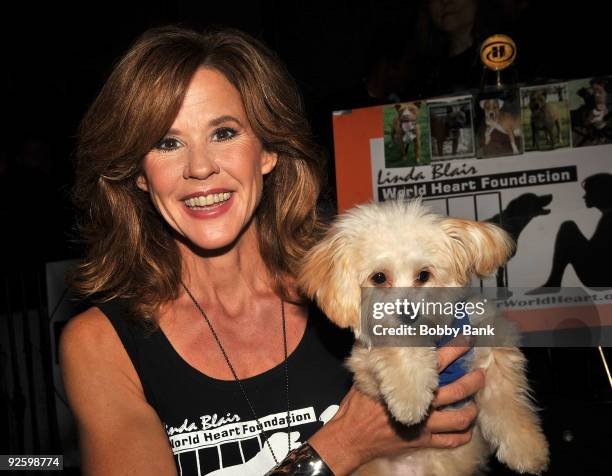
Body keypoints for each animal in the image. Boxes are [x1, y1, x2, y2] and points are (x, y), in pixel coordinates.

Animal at [298, 201, 548, 476]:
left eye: (424, 275)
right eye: (379, 277)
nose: (408, 314)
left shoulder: (492, 342)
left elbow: (507, 402)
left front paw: (526, 449)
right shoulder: (365, 365)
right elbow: (401, 350)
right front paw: (410, 398)